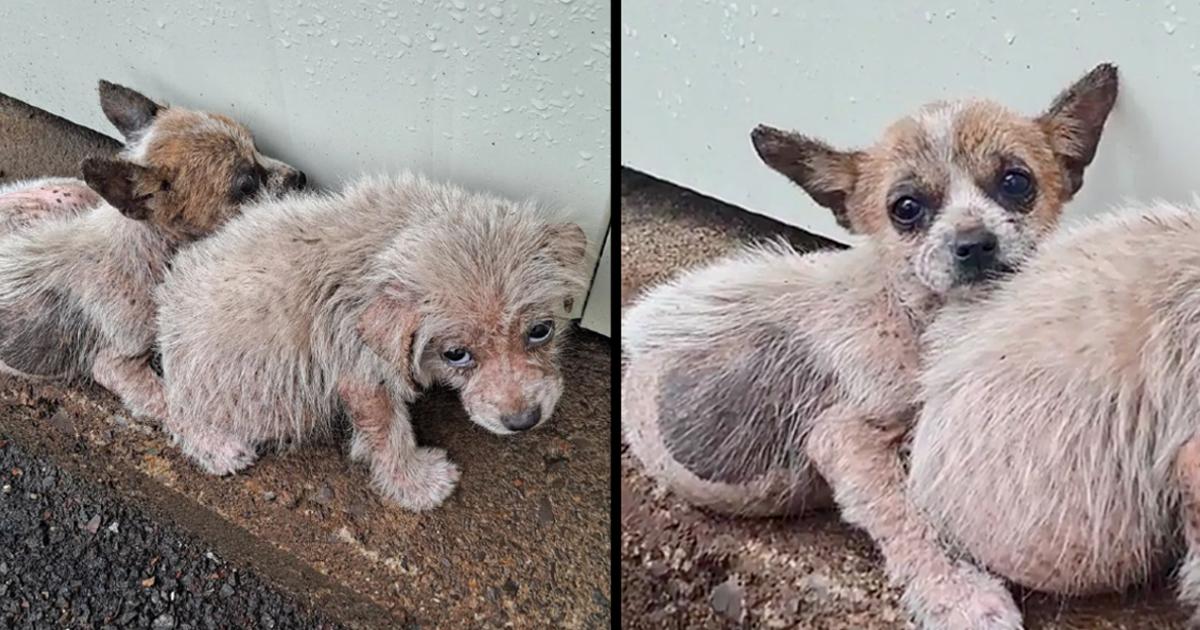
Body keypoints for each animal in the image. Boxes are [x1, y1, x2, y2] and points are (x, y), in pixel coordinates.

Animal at [0, 81, 304, 420]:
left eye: (258, 146)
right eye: (246, 185)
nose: (302, 177)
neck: (144, 247)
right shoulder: (117, 364)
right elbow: (171, 403)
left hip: (68, 194)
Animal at [157, 172, 588, 511]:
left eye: (541, 330)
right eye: (455, 354)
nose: (523, 421)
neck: (393, 238)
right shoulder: (361, 374)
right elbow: (389, 435)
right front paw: (418, 485)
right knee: (177, 412)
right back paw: (218, 448)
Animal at [624, 62, 1118, 624]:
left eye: (1017, 182)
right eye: (906, 208)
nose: (974, 245)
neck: (917, 318)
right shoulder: (845, 437)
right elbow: (906, 510)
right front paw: (957, 594)